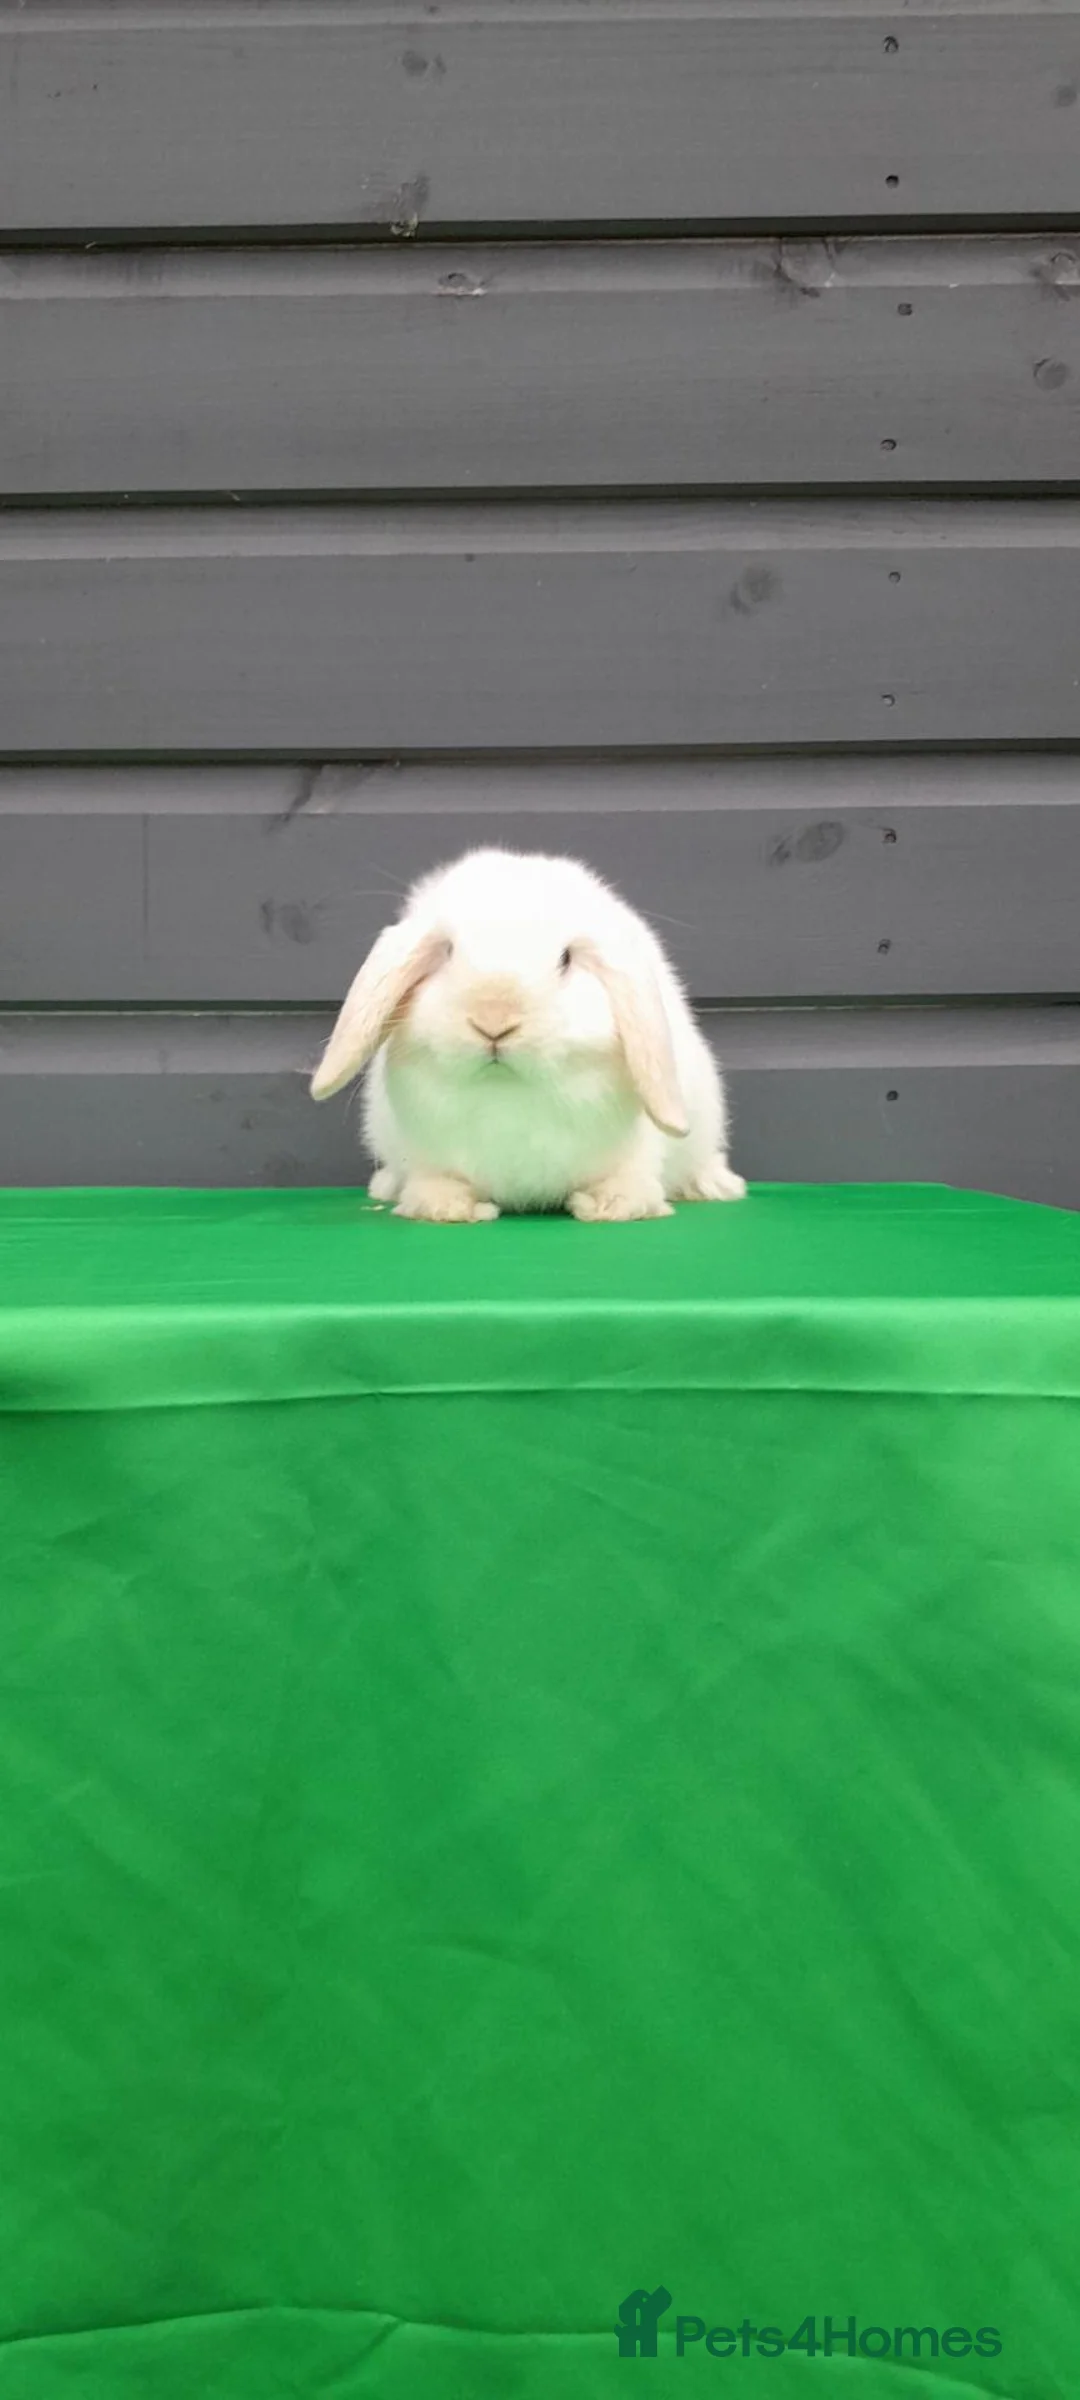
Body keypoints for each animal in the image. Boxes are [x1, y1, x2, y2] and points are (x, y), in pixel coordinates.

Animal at [310, 846, 746, 1224]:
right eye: (447, 952)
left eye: (565, 959)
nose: (494, 1021)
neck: (509, 1095)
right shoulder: (424, 1151)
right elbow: (437, 1180)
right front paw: (446, 1207)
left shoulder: (638, 1150)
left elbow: (629, 1177)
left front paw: (611, 1205)